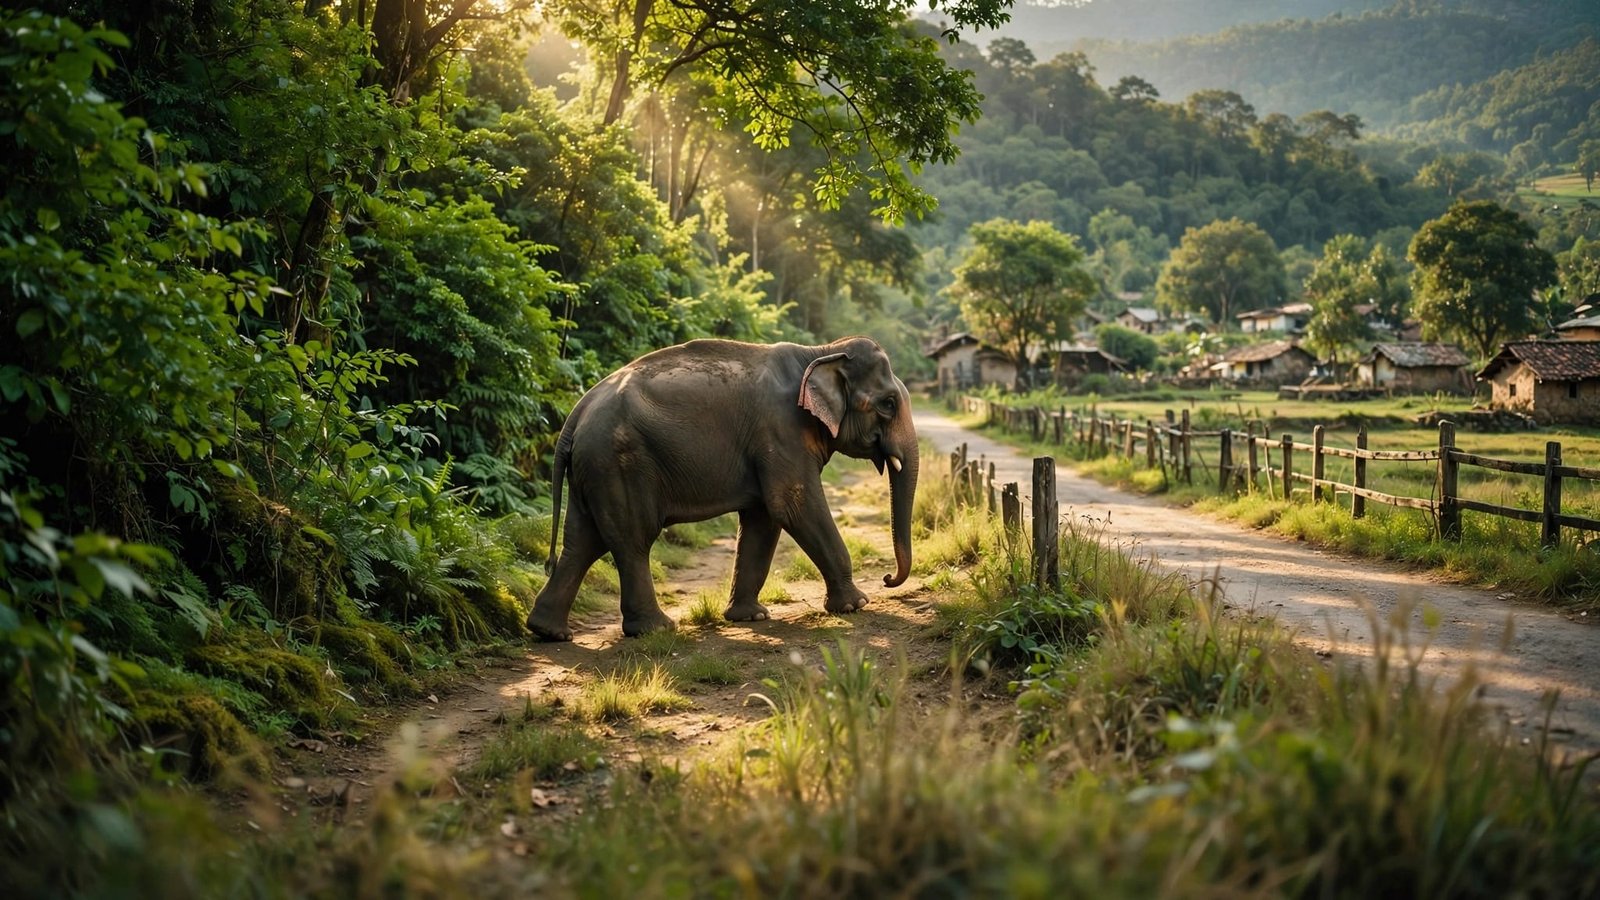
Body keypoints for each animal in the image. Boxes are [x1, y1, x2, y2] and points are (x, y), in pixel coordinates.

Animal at [525, 336, 920, 640]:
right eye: (887, 404)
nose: (888, 578)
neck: (820, 351)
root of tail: (577, 413)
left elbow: (764, 517)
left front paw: (750, 617)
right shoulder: (780, 429)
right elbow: (793, 504)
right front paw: (856, 606)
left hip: (593, 468)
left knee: (583, 541)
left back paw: (549, 631)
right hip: (618, 463)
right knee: (631, 540)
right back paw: (656, 630)